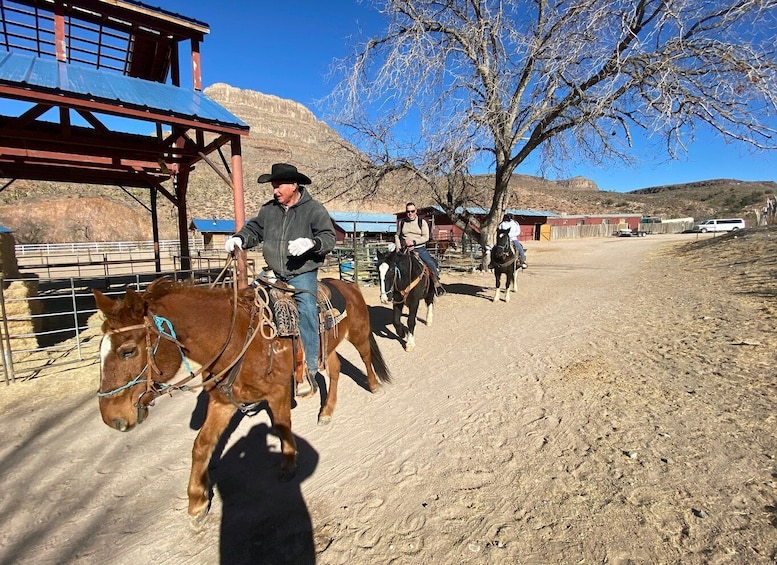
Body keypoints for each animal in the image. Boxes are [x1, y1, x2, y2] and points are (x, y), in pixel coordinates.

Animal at [93, 276, 392, 528]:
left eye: (128, 351)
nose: (111, 417)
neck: (238, 340)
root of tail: (348, 284)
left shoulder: (278, 393)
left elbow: (282, 427)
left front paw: (288, 464)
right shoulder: (222, 402)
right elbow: (201, 446)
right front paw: (197, 503)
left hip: (358, 333)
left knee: (365, 356)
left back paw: (374, 386)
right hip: (326, 348)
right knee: (336, 368)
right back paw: (326, 411)